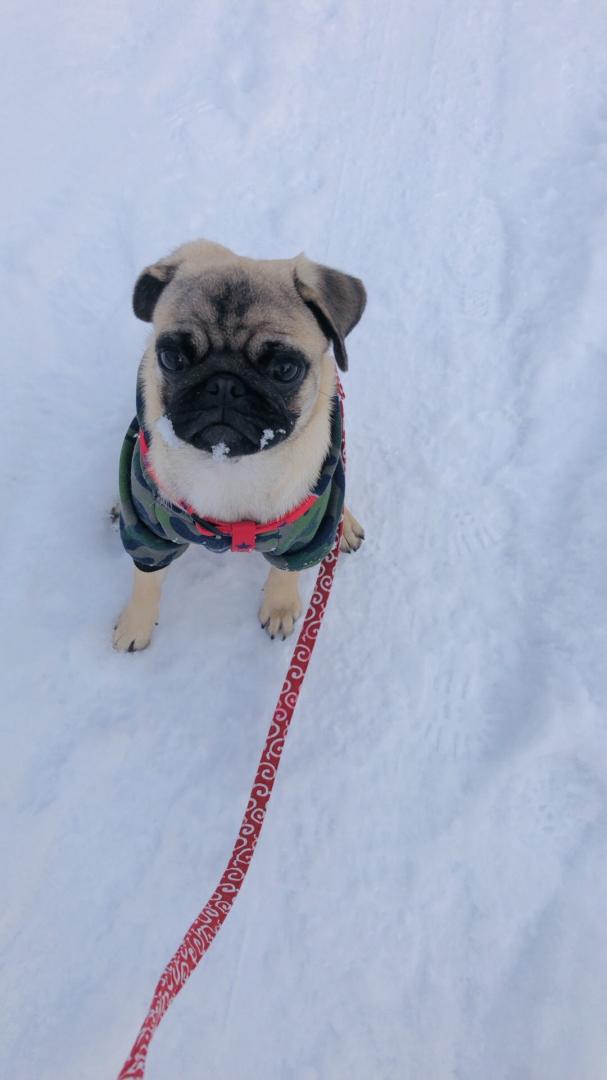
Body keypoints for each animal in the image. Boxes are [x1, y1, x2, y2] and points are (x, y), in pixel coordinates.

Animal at [113, 243, 362, 648]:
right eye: (172, 358)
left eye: (285, 369)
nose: (224, 385)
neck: (228, 467)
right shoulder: (147, 532)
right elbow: (146, 580)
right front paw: (136, 624)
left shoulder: (306, 535)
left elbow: (286, 572)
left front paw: (280, 607)